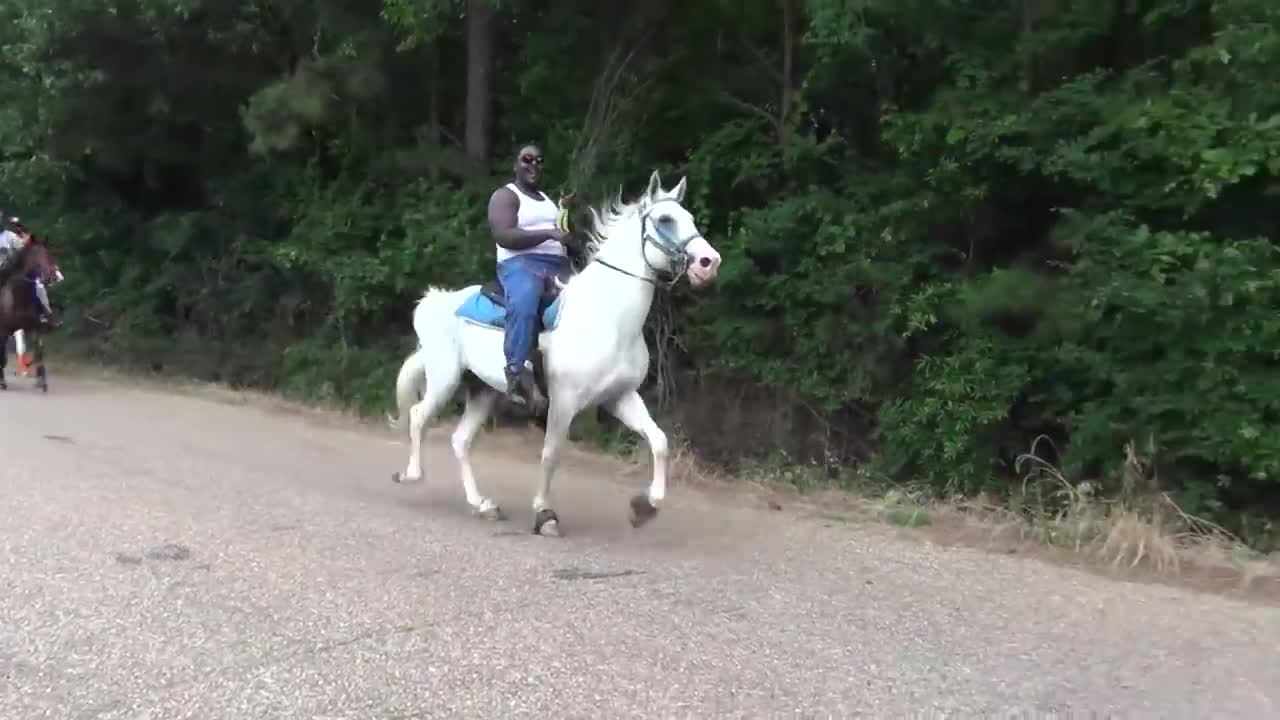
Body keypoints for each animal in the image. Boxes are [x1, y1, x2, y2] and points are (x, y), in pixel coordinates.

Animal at [0, 235, 60, 392]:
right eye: (35, 255)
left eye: (48, 254)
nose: (53, 276)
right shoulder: (3, 330)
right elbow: (2, 355)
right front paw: (2, 382)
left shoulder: (35, 326)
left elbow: (39, 351)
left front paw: (41, 381)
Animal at [384, 169, 727, 532]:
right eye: (665, 219)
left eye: (690, 218)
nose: (709, 262)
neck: (608, 317)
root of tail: (435, 300)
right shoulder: (564, 401)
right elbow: (551, 454)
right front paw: (544, 514)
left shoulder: (620, 397)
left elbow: (659, 441)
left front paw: (646, 505)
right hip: (445, 378)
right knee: (418, 416)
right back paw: (411, 475)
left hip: (483, 391)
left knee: (460, 440)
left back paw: (483, 504)